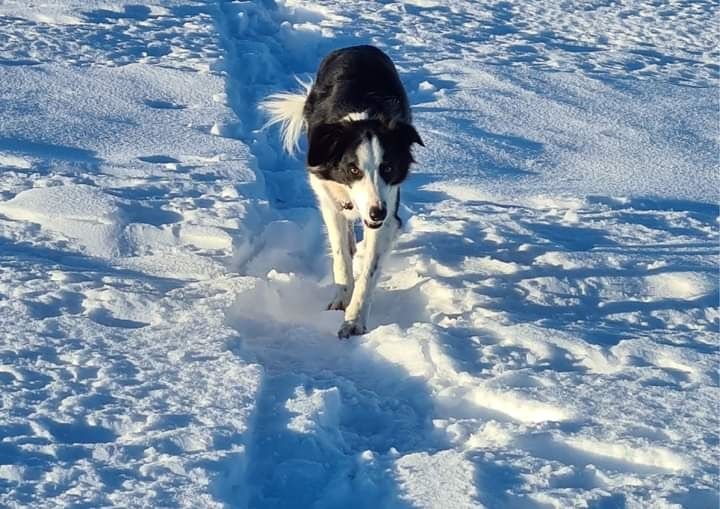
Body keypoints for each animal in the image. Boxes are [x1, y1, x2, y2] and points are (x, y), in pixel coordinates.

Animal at [262, 44, 424, 338]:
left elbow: (369, 269)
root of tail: (357, 47)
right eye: (353, 170)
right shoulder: (328, 196)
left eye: (388, 168)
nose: (377, 213)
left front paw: (354, 320)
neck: (361, 117)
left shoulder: (388, 209)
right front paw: (341, 298)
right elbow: (339, 255)